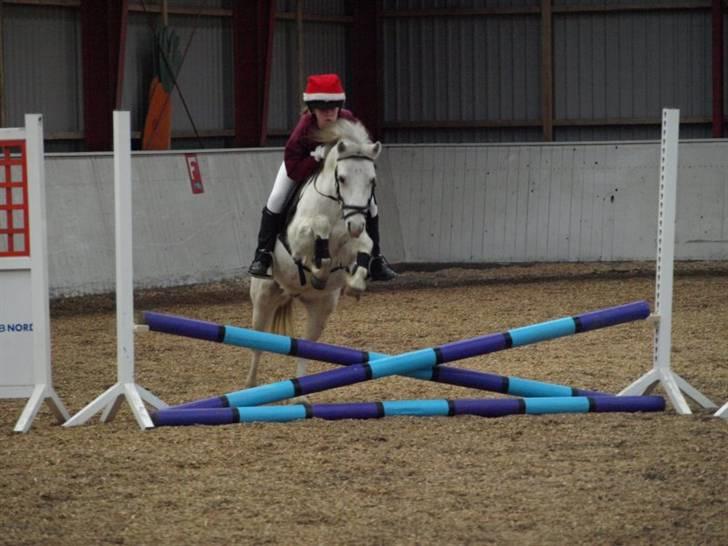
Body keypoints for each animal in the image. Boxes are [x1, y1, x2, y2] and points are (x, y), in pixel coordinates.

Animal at [246, 119, 382, 388]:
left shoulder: (355, 241)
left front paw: (355, 284)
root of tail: (292, 293)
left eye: (372, 181)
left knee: (306, 348)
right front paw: (320, 266)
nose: (356, 225)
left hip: (321, 307)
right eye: (342, 178)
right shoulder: (298, 239)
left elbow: (364, 248)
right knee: (258, 344)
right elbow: (318, 228)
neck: (336, 207)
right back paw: (250, 386)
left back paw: (303, 389)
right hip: (264, 296)